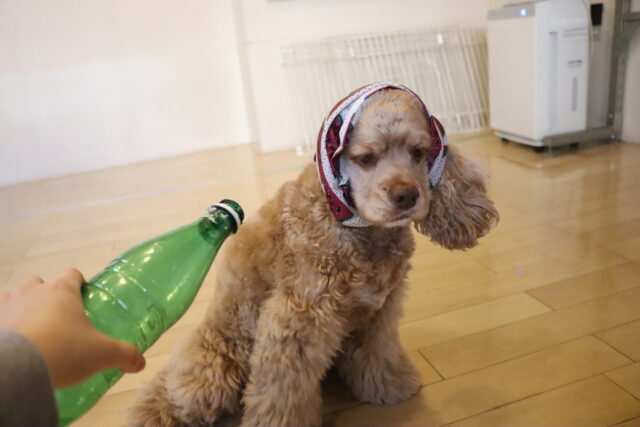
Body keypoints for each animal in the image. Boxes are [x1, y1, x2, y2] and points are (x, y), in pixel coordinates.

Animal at [129, 83, 499, 427]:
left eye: (418, 152)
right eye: (366, 158)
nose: (406, 195)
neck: (359, 229)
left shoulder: (381, 311)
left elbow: (378, 353)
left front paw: (390, 387)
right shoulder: (296, 323)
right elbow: (283, 392)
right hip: (213, 368)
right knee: (172, 392)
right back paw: (150, 412)